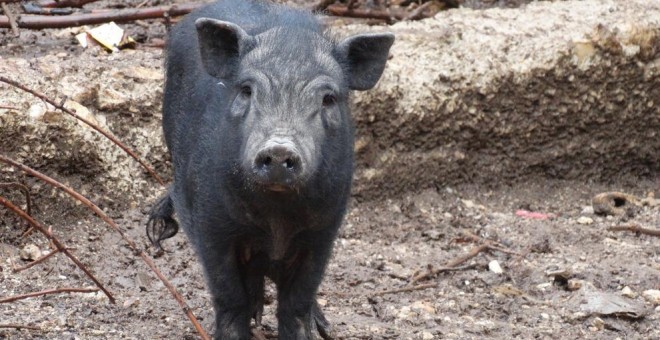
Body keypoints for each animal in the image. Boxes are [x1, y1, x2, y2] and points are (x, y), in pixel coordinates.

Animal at [146, 0, 392, 338]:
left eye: (328, 98)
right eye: (247, 90)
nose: (279, 149)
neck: (276, 221)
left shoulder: (324, 230)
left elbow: (297, 301)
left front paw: (310, 332)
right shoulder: (211, 225)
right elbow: (229, 296)